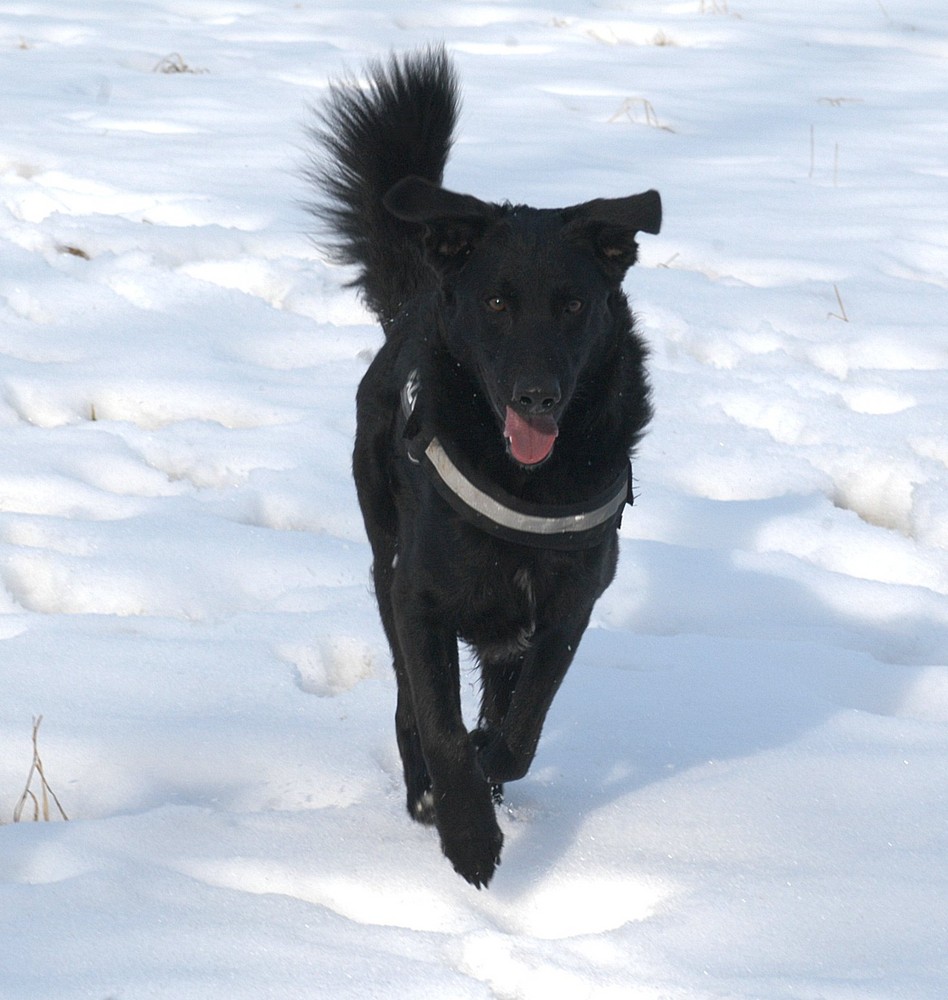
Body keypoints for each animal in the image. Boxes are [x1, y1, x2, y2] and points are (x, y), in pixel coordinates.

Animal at [308, 48, 664, 892]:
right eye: (497, 303)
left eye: (573, 305)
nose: (537, 394)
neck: (525, 480)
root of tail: (413, 303)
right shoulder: (419, 598)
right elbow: (437, 722)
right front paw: (466, 831)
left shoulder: (570, 602)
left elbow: (522, 726)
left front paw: (490, 766)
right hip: (383, 555)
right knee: (407, 699)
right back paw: (426, 792)